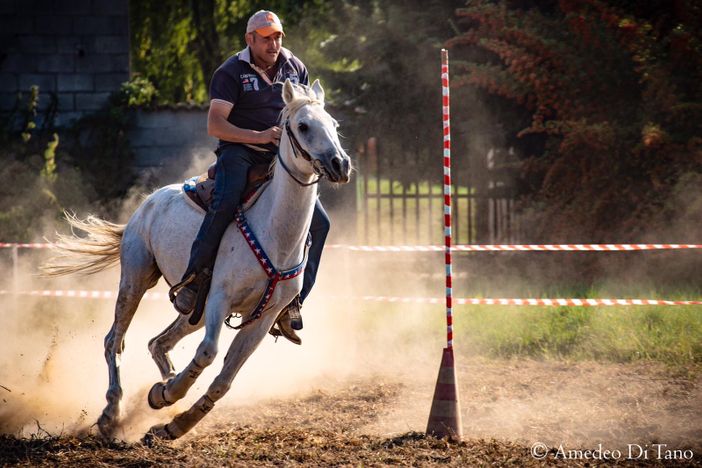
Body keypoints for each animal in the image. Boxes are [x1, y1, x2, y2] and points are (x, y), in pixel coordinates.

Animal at [41, 79, 352, 440]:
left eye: (334, 125)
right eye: (303, 126)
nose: (339, 164)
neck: (275, 232)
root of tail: (149, 201)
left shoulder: (264, 317)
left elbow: (224, 380)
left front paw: (175, 421)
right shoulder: (219, 298)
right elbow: (207, 353)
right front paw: (167, 394)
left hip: (195, 312)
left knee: (157, 342)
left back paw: (157, 389)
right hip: (135, 278)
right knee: (114, 341)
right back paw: (111, 412)